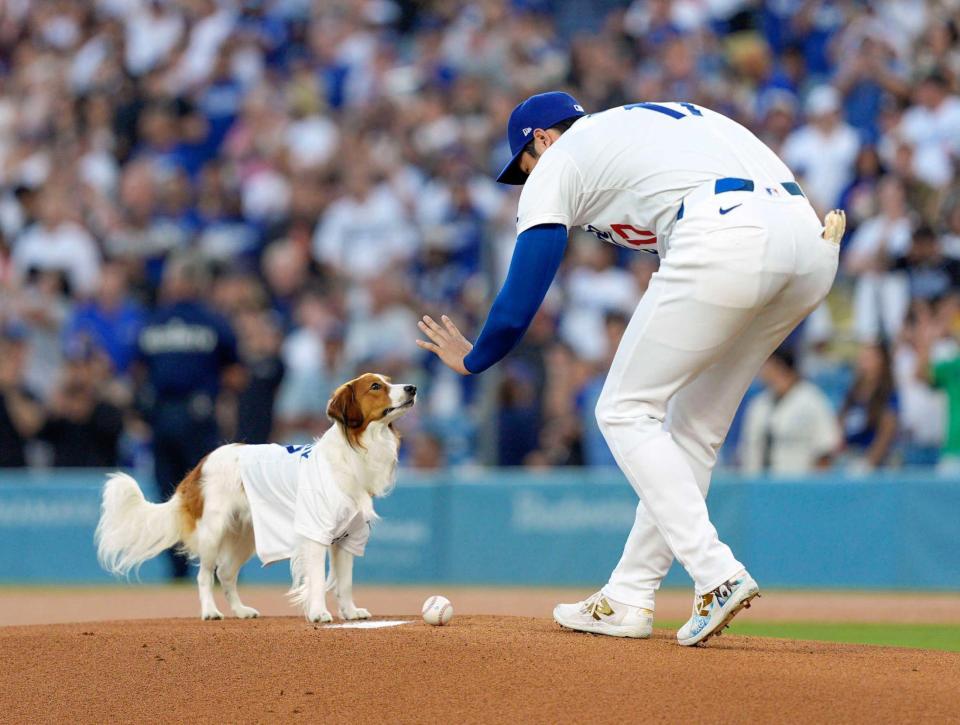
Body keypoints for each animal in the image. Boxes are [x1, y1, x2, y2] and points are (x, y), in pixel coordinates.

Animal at [94, 376, 416, 620]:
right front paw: (318, 613)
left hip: (245, 536)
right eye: (375, 386)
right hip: (213, 533)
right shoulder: (315, 534)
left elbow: (345, 582)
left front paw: (350, 612)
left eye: (388, 381)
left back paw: (240, 610)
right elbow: (316, 579)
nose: (412, 388)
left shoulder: (349, 536)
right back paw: (210, 612)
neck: (355, 454)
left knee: (225, 574)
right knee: (205, 576)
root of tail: (201, 464)